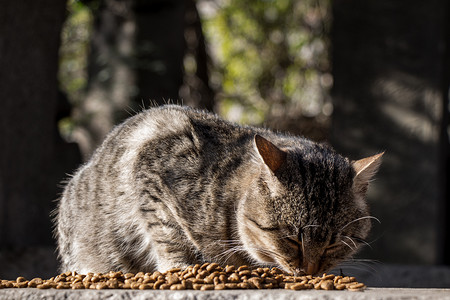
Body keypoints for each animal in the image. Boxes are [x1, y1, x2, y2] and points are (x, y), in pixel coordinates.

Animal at [54, 104, 382, 276]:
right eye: (291, 239)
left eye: (333, 244)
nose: (310, 272)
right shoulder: (152, 174)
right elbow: (168, 236)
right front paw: (180, 269)